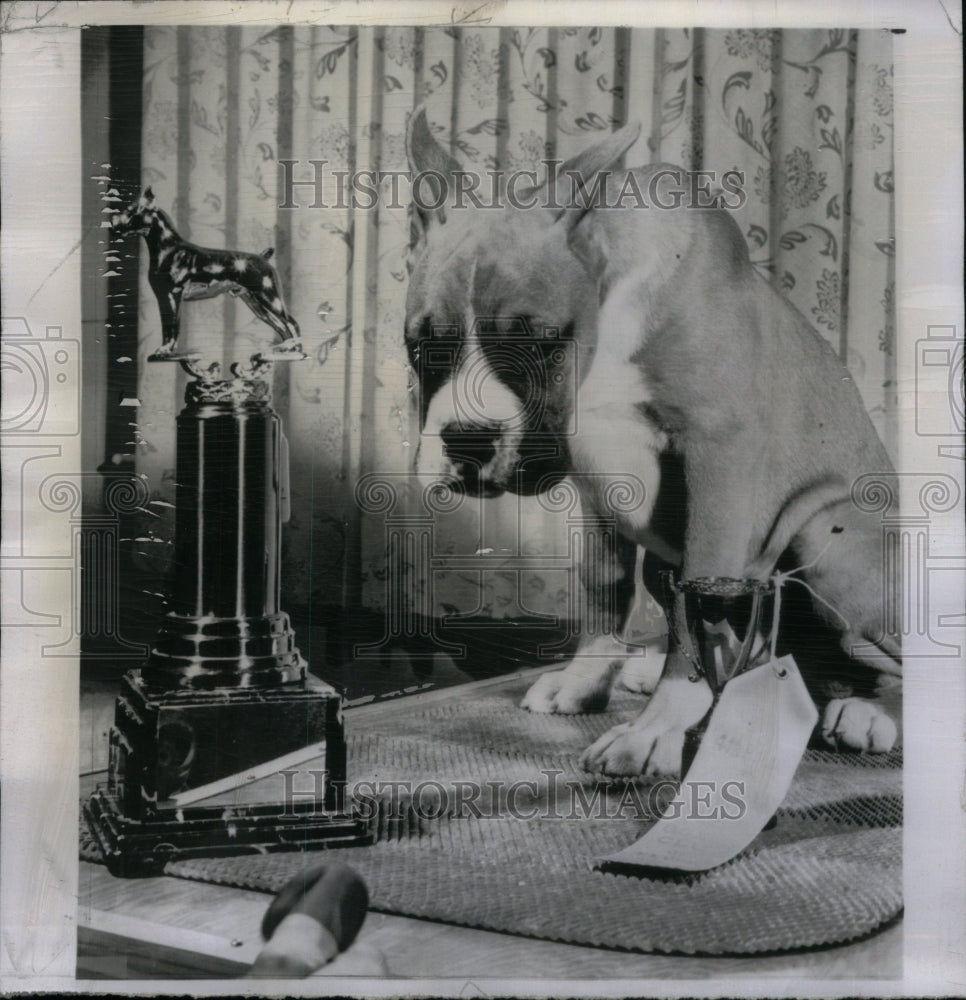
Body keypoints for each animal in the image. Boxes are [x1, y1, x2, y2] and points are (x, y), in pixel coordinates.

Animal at [404, 105, 904, 776]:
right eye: (423, 347)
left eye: (539, 344)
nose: (467, 440)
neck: (606, 309)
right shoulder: (595, 483)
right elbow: (603, 586)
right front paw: (586, 679)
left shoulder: (718, 456)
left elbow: (700, 616)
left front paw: (656, 728)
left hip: (823, 537)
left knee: (890, 659)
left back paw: (865, 712)